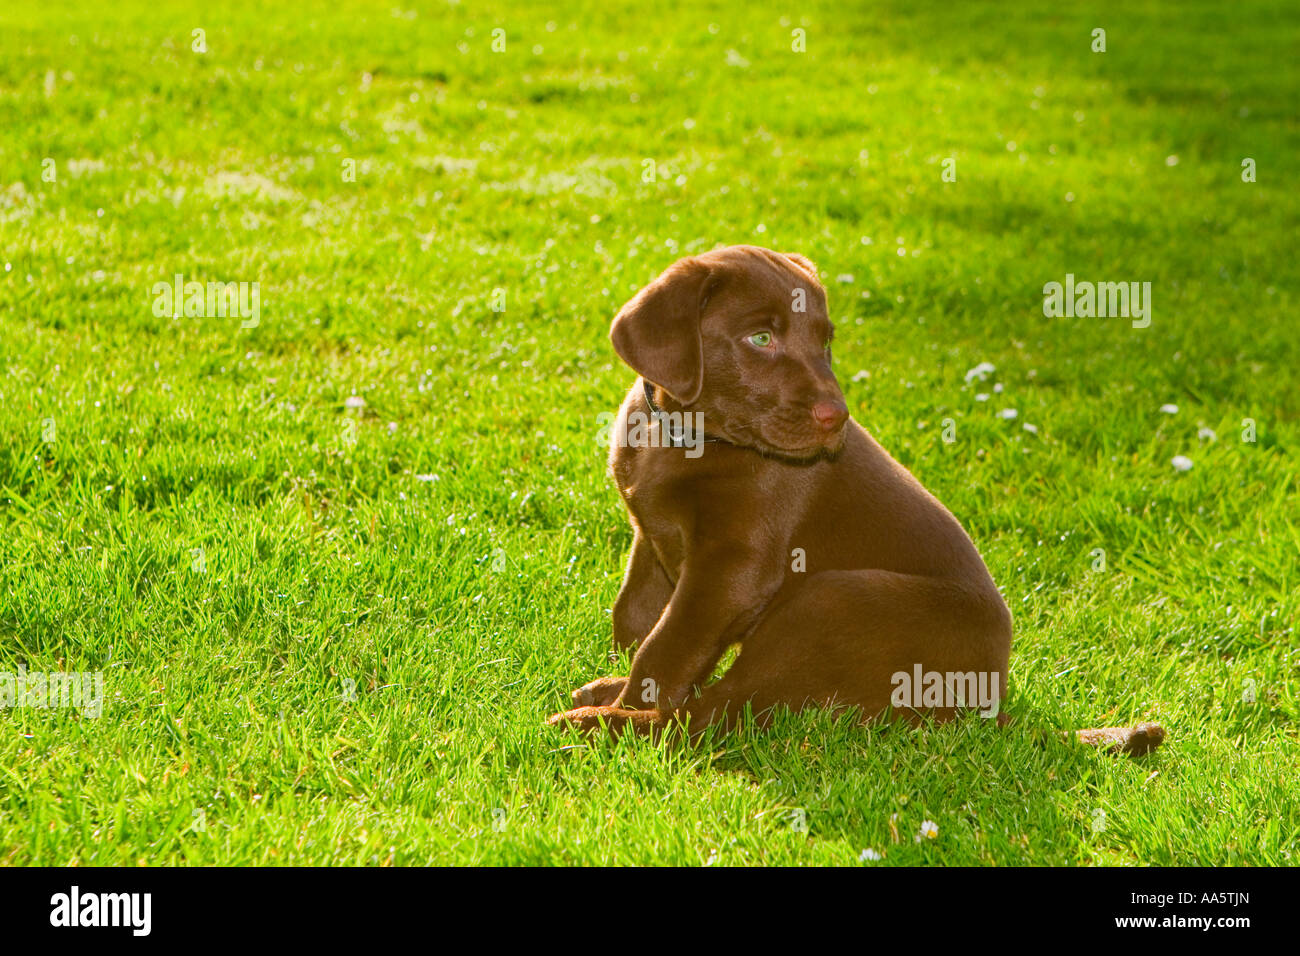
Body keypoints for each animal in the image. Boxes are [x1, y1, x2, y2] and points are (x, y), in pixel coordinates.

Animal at [548, 251, 1170, 759]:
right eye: (761, 339)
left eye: (825, 341)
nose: (837, 418)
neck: (684, 435)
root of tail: (985, 710)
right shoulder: (651, 536)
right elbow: (635, 619)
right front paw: (622, 682)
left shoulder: (733, 568)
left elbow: (665, 646)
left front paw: (629, 705)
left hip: (830, 601)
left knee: (716, 716)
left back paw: (595, 722)